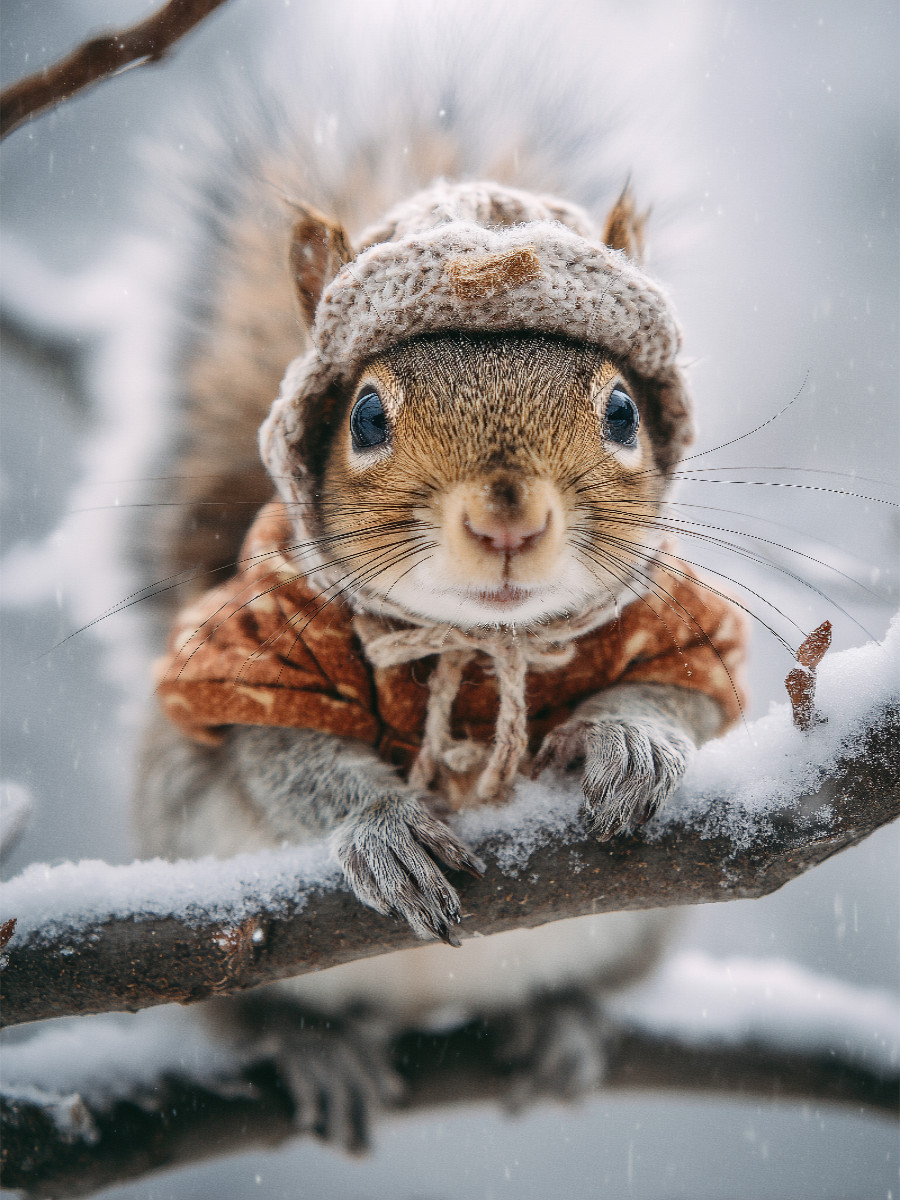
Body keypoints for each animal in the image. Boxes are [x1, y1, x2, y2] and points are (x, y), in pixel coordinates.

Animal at [130, 1, 748, 1140]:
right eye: (367, 417)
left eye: (622, 412)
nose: (509, 517)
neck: (483, 644)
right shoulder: (260, 645)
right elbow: (278, 754)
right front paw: (382, 829)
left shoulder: (674, 619)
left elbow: (684, 696)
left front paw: (631, 740)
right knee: (253, 1015)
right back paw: (316, 1047)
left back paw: (561, 1025)